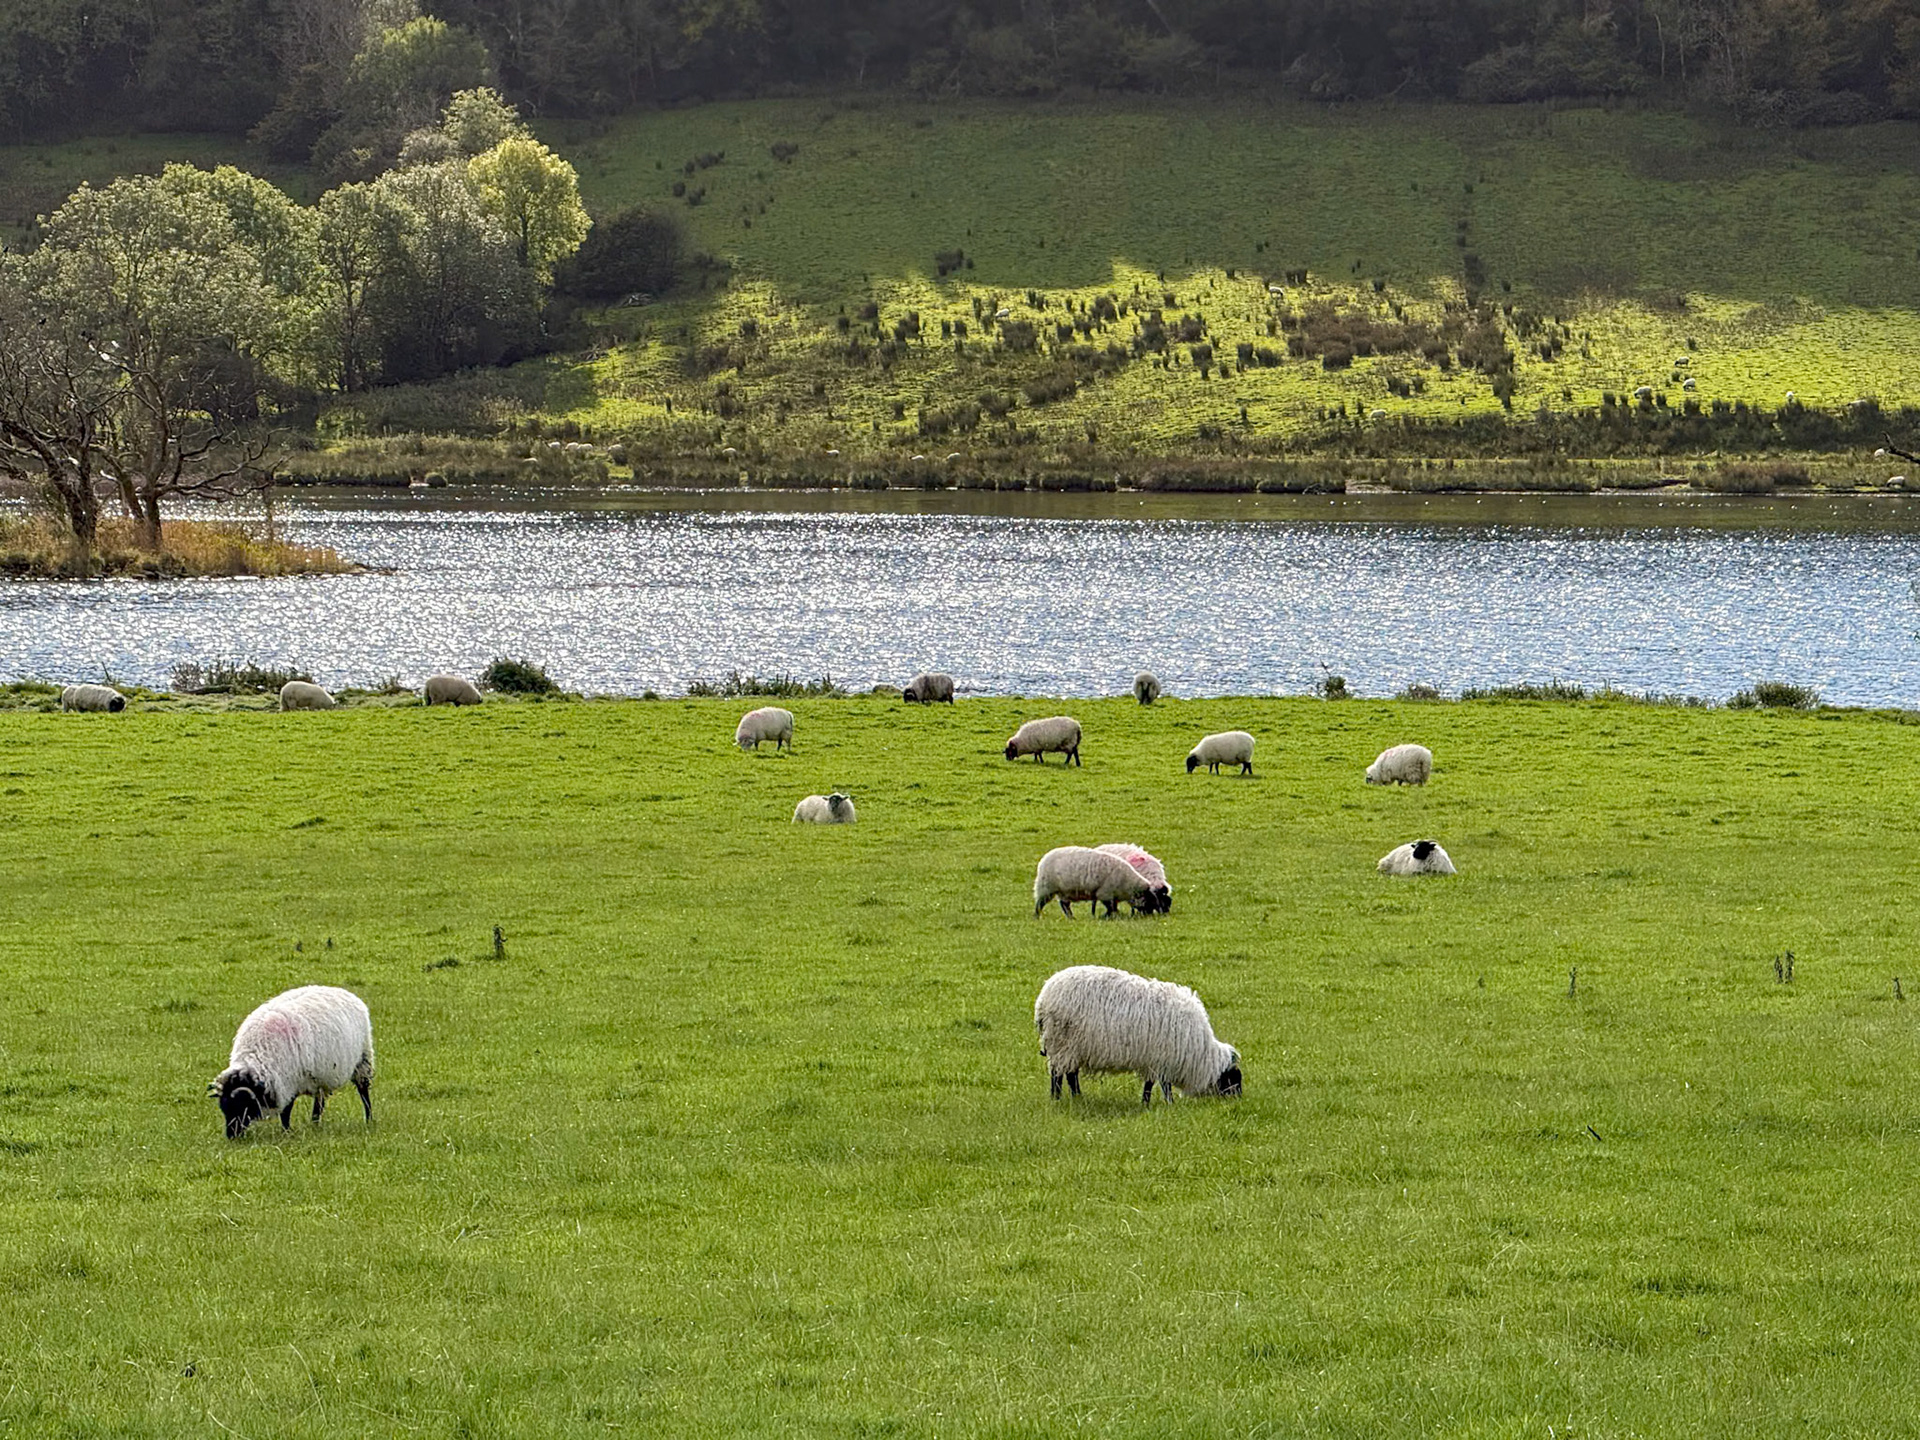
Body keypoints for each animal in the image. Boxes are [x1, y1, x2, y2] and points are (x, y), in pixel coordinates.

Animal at [209, 985, 374, 1138]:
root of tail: (344, 992)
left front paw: (286, 1131)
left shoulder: (289, 1082)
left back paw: (369, 1119)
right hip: (321, 1077)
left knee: (363, 1092)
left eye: (241, 1106)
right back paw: (315, 1124)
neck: (256, 1056)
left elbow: (286, 1112)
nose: (231, 1135)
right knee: (319, 1102)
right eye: (224, 1108)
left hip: (363, 1059)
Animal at [1034, 964, 1241, 1105]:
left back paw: (1076, 1097)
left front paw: (1150, 1103)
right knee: (1058, 1075)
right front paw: (1165, 1104)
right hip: (1063, 1042)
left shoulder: (1157, 1060)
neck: (1200, 1053)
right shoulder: (1161, 1059)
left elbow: (1154, 1084)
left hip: (1071, 1047)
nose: (1239, 1100)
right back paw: (1058, 1098)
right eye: (1234, 1079)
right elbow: (1160, 1085)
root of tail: (1043, 998)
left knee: (1070, 1074)